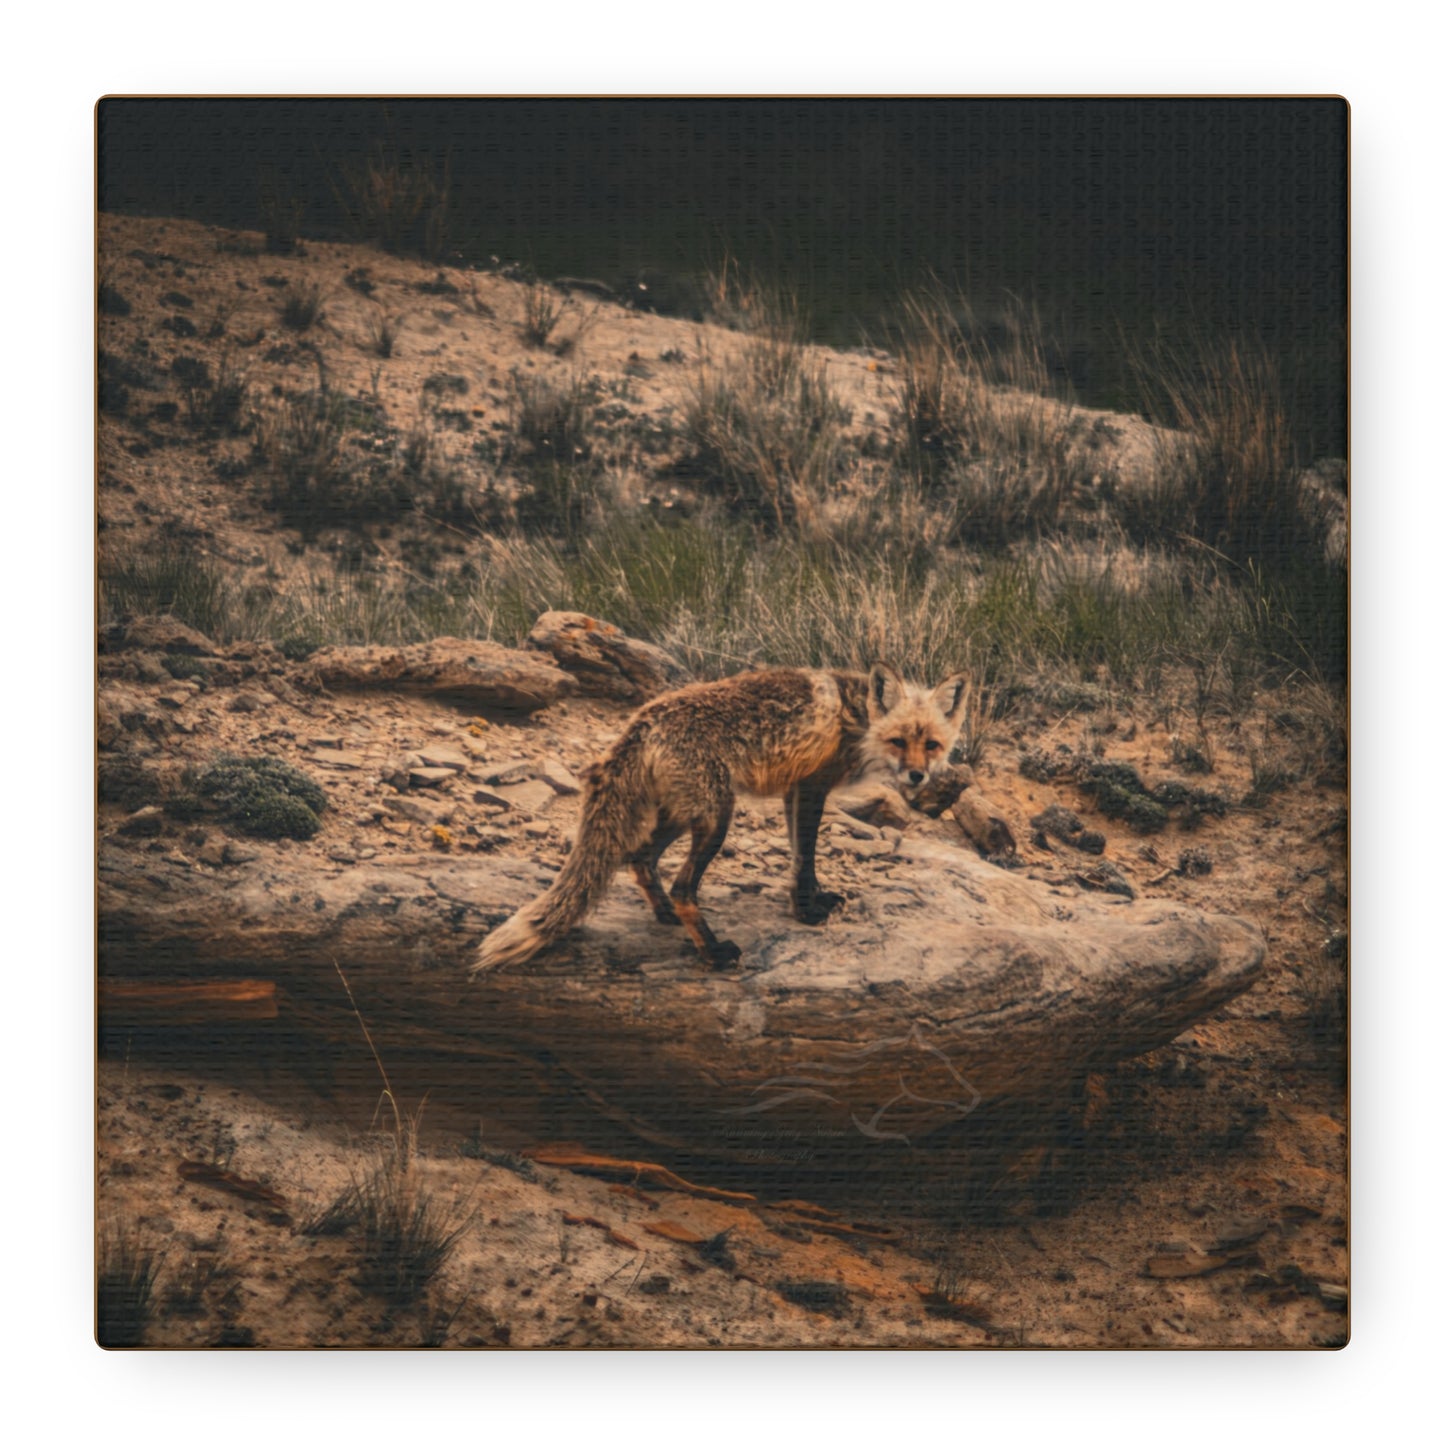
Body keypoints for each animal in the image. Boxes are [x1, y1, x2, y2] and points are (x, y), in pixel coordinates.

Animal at [471, 661, 969, 973]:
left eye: (932, 744)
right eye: (899, 741)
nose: (918, 776)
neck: (858, 719)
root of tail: (642, 721)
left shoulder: (794, 790)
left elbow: (798, 860)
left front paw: (811, 901)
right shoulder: (812, 786)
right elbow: (806, 857)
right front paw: (807, 913)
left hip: (683, 814)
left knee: (639, 858)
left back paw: (665, 915)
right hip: (716, 819)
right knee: (682, 887)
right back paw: (711, 952)